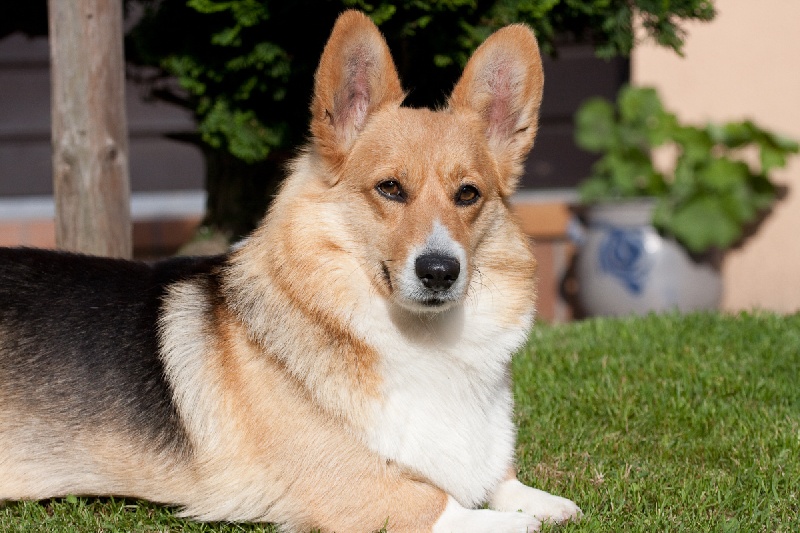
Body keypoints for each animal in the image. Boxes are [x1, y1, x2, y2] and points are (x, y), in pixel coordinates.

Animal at [3, 9, 584, 532]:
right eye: (390, 188)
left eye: (468, 194)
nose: (440, 271)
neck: (423, 341)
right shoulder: (352, 485)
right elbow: (442, 504)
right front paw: (514, 521)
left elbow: (504, 481)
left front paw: (547, 503)